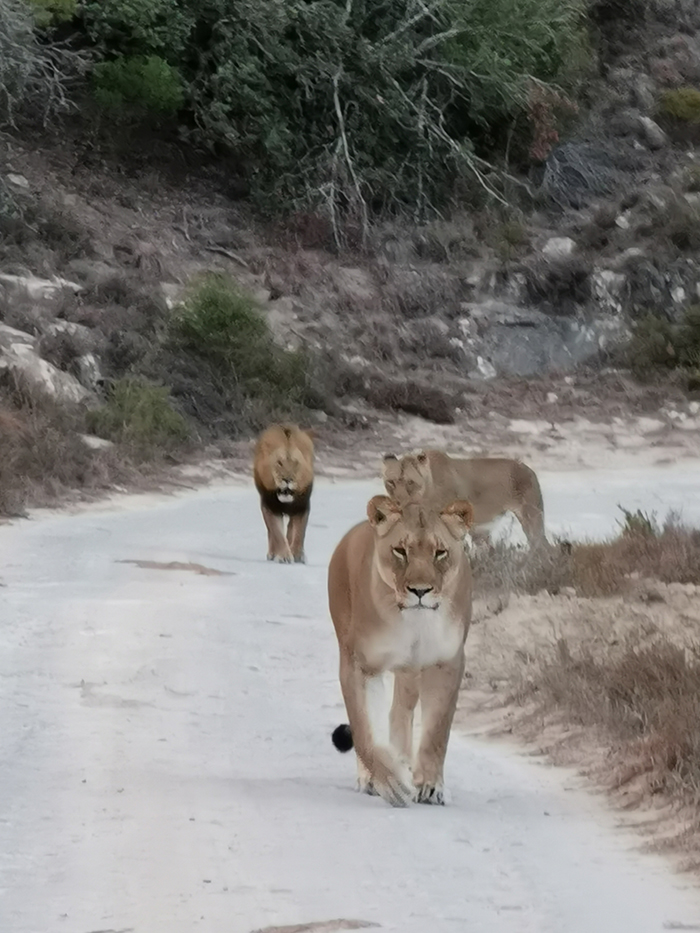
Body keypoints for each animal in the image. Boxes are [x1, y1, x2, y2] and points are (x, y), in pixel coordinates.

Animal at [253, 422, 314, 560]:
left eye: (295, 463)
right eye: (279, 463)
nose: (287, 479)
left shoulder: (301, 506)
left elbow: (299, 532)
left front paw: (297, 555)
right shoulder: (270, 506)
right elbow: (276, 533)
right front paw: (284, 556)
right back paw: (272, 553)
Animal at [330, 492, 474, 804]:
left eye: (440, 552)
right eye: (400, 551)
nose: (420, 591)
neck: (414, 621)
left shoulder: (447, 662)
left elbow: (437, 732)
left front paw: (430, 786)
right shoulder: (361, 665)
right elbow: (365, 730)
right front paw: (389, 781)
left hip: (409, 671)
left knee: (399, 712)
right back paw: (374, 776)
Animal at [382, 450, 548, 548]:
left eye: (410, 482)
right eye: (391, 482)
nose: (398, 502)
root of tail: (529, 469)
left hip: (531, 516)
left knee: (540, 545)